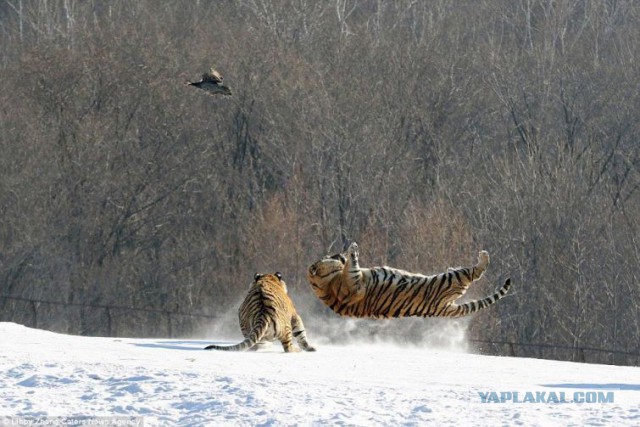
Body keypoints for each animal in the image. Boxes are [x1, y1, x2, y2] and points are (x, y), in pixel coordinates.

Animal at [308, 242, 512, 320]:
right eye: (332, 256)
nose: (339, 254)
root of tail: (445, 308)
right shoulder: (355, 285)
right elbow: (353, 266)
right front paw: (353, 249)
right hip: (449, 281)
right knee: (474, 272)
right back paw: (483, 257)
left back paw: (453, 266)